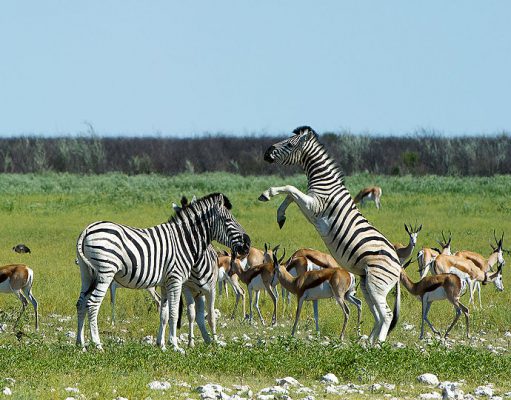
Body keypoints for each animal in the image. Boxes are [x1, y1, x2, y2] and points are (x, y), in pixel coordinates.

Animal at [75, 192, 250, 352]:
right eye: (228, 221)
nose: (248, 244)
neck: (184, 240)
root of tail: (87, 230)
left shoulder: (165, 283)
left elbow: (164, 313)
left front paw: (162, 345)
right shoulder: (176, 279)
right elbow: (174, 312)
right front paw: (175, 345)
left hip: (87, 274)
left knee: (81, 303)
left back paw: (80, 344)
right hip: (105, 273)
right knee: (92, 304)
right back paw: (97, 345)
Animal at [262, 126, 402, 342]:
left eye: (290, 144)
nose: (267, 152)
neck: (325, 183)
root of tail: (399, 265)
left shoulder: (314, 206)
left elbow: (290, 189)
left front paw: (267, 194)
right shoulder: (309, 203)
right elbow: (290, 195)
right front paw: (280, 215)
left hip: (376, 284)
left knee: (385, 315)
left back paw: (378, 344)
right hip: (367, 284)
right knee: (378, 315)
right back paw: (369, 343)